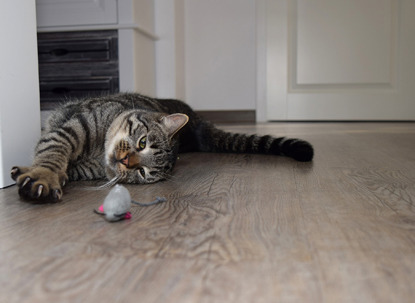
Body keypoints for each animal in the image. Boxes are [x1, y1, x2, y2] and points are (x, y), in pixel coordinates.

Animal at [9, 92, 314, 202]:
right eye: (142, 142)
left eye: (143, 173)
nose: (126, 161)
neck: (96, 154)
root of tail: (198, 123)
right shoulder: (75, 127)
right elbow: (52, 153)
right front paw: (43, 176)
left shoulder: (86, 165)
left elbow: (64, 163)